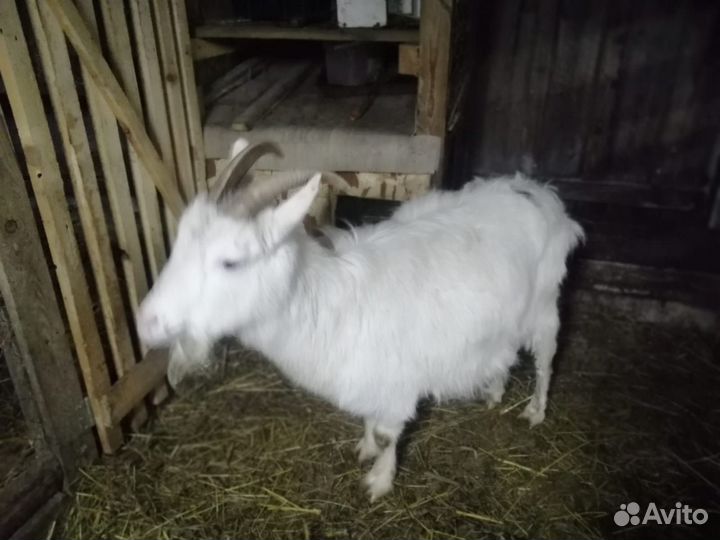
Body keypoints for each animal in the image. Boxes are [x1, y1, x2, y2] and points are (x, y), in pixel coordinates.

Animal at [136, 140, 585, 501]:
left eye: (231, 261)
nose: (145, 323)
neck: (327, 302)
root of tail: (538, 192)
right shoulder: (371, 378)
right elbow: (371, 421)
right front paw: (365, 448)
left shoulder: (399, 381)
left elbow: (390, 434)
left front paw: (379, 482)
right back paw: (492, 391)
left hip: (544, 304)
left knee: (546, 358)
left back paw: (535, 411)